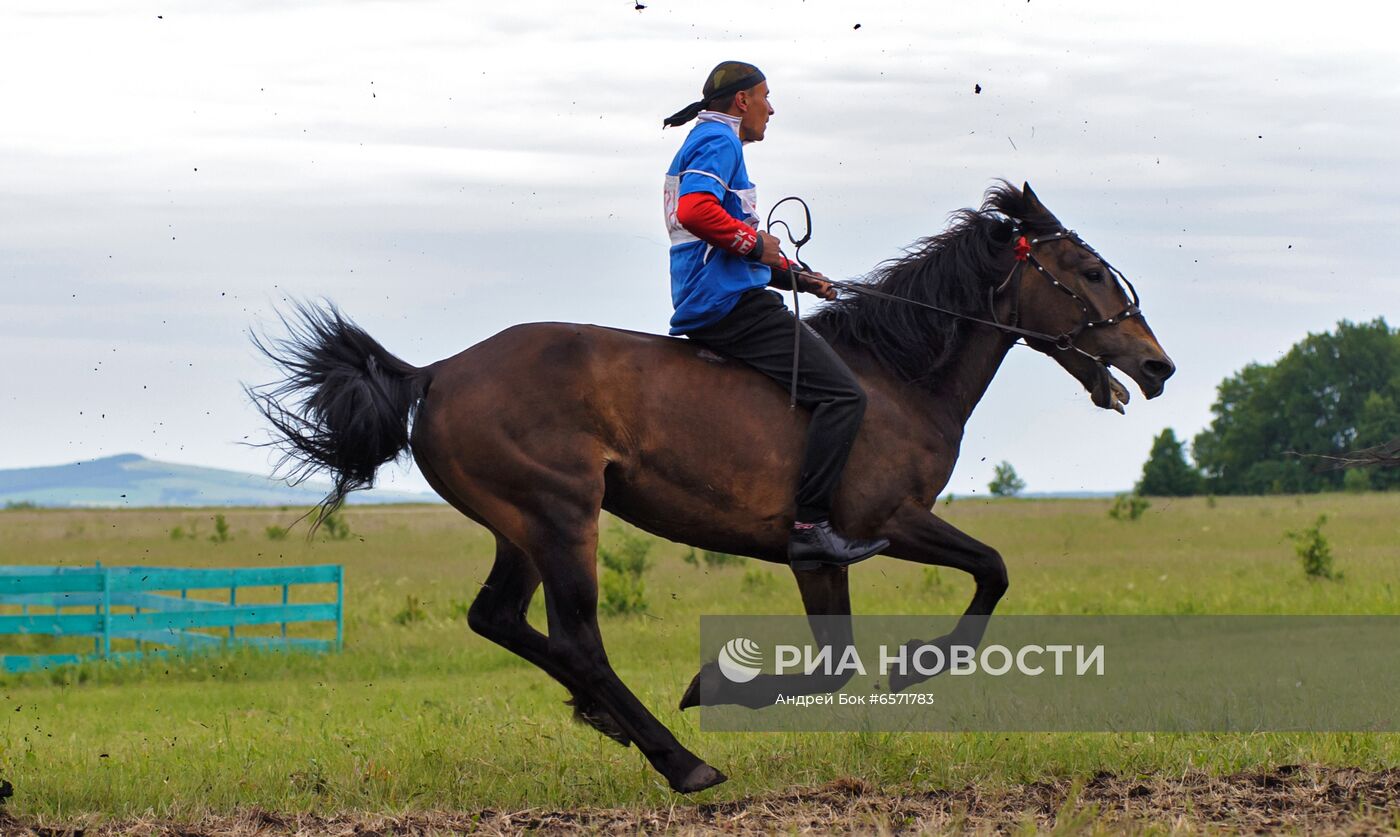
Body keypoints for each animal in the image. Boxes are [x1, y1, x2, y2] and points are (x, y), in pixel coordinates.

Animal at [249, 181, 1170, 795]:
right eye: (1088, 271)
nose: (1157, 366)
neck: (897, 375)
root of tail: (435, 372)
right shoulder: (879, 521)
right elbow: (990, 572)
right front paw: (900, 665)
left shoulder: (819, 556)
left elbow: (841, 658)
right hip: (561, 517)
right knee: (578, 640)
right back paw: (682, 760)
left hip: (519, 527)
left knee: (499, 619)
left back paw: (610, 721)